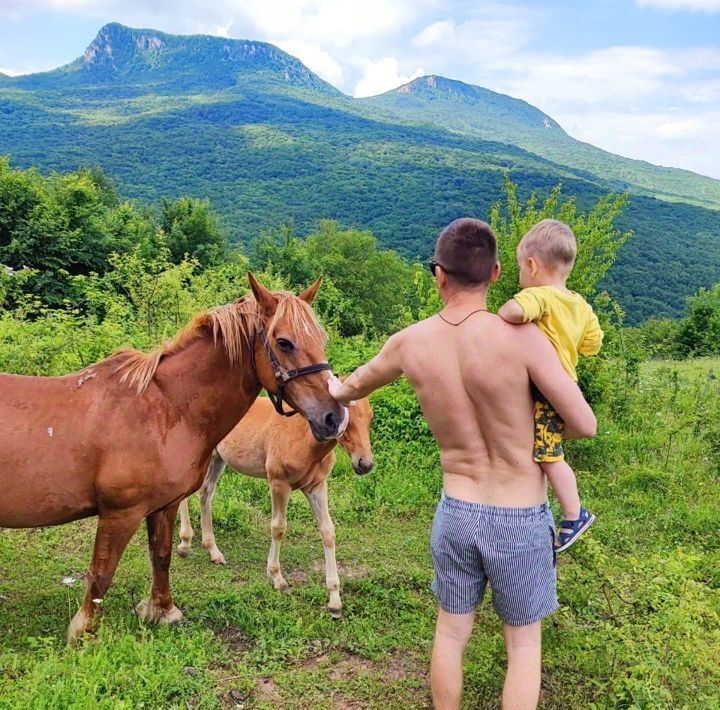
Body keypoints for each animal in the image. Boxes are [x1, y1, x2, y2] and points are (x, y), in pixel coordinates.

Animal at [0, 274, 344, 644]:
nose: (334, 418)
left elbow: (161, 557)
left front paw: (163, 611)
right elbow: (101, 572)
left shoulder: (162, 506)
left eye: (321, 339)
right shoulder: (120, 513)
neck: (164, 409)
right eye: (284, 343)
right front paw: (85, 631)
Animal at [176, 398, 374, 620]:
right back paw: (184, 544)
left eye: (370, 417)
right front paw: (277, 578)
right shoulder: (279, 483)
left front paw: (334, 600)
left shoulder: (317, 486)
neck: (305, 440)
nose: (365, 464)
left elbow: (328, 532)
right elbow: (278, 528)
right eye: (346, 421)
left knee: (206, 492)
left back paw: (213, 551)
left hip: (218, 457)